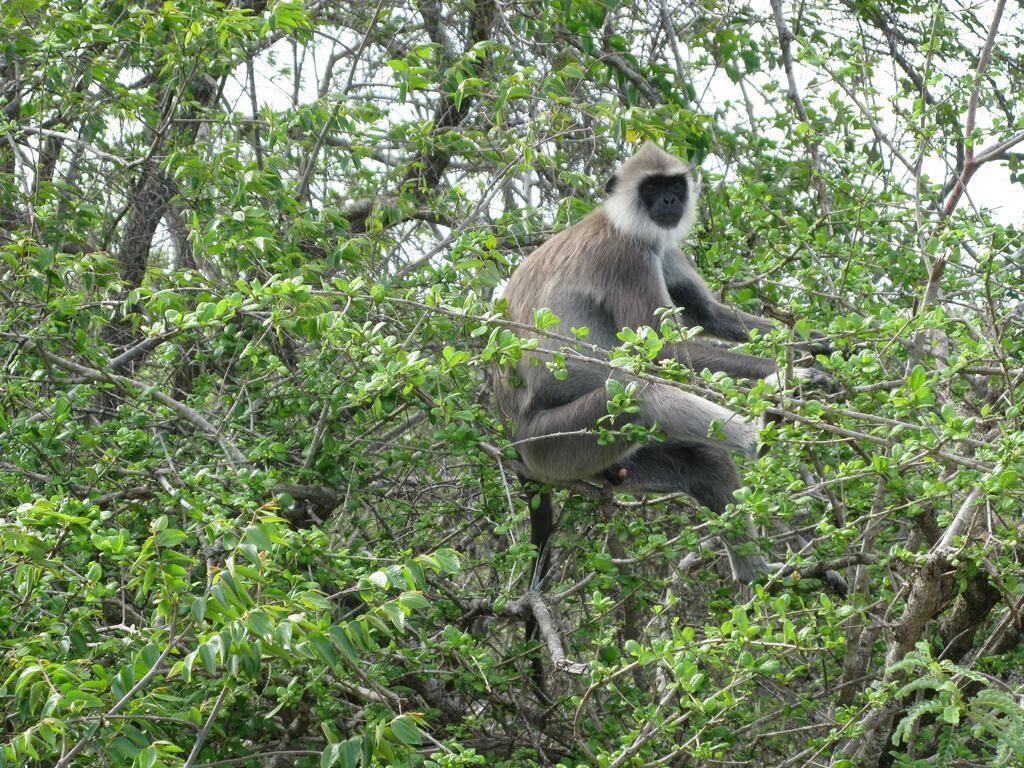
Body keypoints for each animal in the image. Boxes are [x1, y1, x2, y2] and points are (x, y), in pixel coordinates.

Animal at [496, 142, 835, 592]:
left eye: (674, 185)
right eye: (652, 188)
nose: (670, 201)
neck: (620, 221)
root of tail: (509, 427)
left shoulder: (661, 248)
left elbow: (710, 314)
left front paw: (826, 343)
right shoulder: (627, 256)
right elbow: (660, 351)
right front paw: (783, 372)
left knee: (704, 462)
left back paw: (757, 576)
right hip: (551, 443)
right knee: (641, 394)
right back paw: (760, 434)